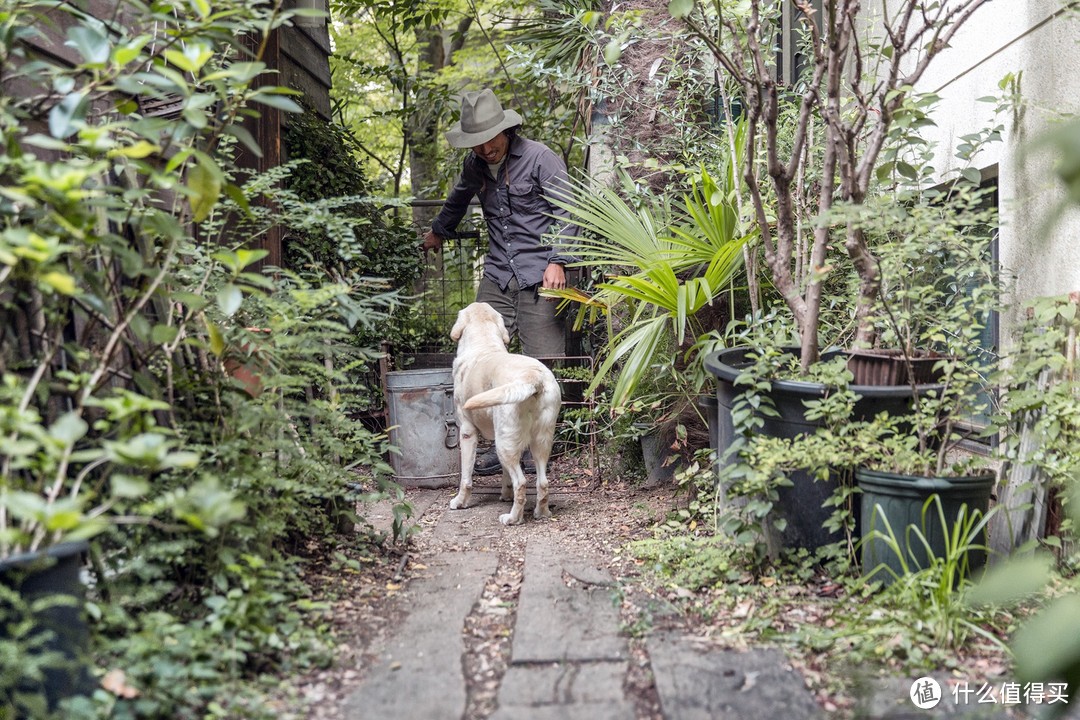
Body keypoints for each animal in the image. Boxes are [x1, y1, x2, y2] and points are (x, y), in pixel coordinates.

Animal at [449, 302, 561, 526]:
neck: (483, 345)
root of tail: (532, 377)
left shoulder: (467, 432)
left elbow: (466, 477)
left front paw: (460, 501)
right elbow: (504, 473)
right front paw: (505, 494)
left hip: (504, 443)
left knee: (522, 482)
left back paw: (512, 518)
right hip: (539, 442)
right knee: (542, 482)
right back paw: (541, 512)